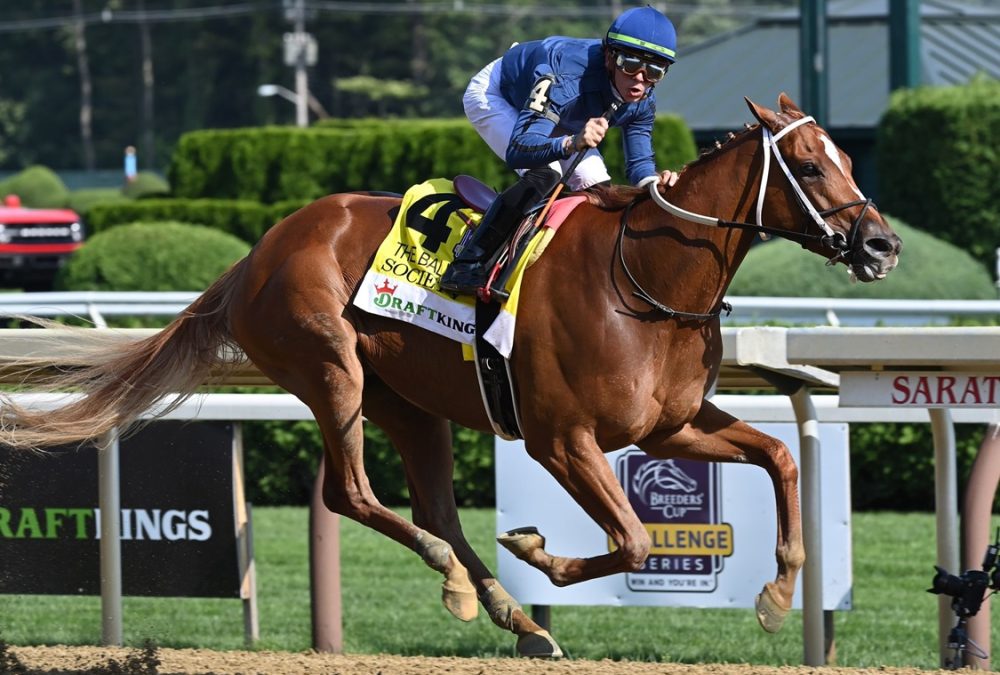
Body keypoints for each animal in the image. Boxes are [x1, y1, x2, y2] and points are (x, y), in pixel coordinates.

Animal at [0, 96, 904, 660]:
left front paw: (778, 593)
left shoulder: (668, 425)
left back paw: (504, 610)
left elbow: (778, 458)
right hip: (330, 368)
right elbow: (634, 538)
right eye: (811, 168)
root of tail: (254, 253)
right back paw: (470, 581)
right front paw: (536, 550)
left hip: (410, 402)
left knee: (431, 503)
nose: (884, 244)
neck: (646, 278)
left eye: (848, 158)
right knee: (353, 493)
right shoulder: (560, 439)